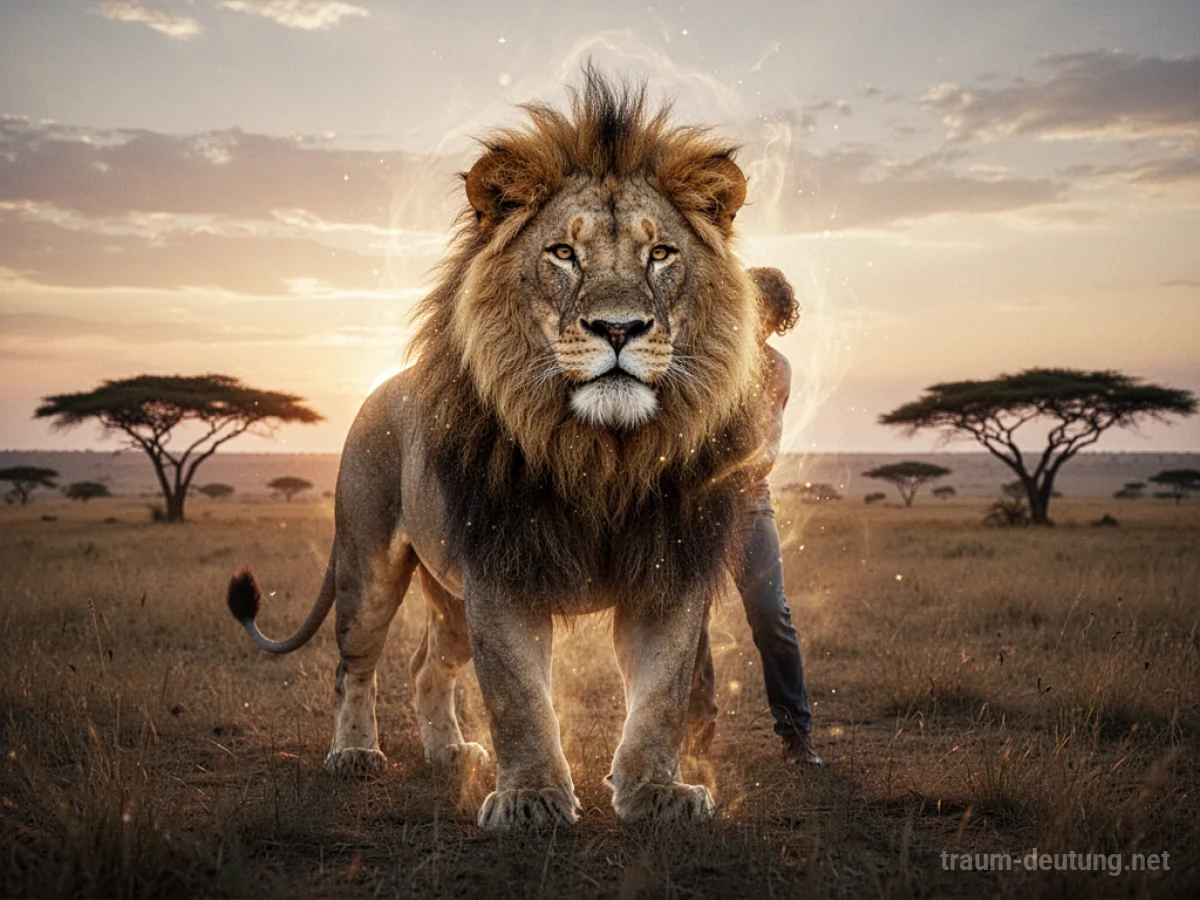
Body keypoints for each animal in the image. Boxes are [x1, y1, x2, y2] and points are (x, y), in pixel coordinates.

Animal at [227, 69, 768, 831]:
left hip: (450, 597)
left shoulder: (668, 568)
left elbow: (661, 692)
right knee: (352, 664)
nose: (619, 329)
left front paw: (657, 792)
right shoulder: (501, 569)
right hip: (370, 565)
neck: (601, 454)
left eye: (660, 253)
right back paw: (355, 753)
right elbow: (517, 695)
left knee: (428, 666)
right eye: (563, 253)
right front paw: (532, 798)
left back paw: (450, 752)